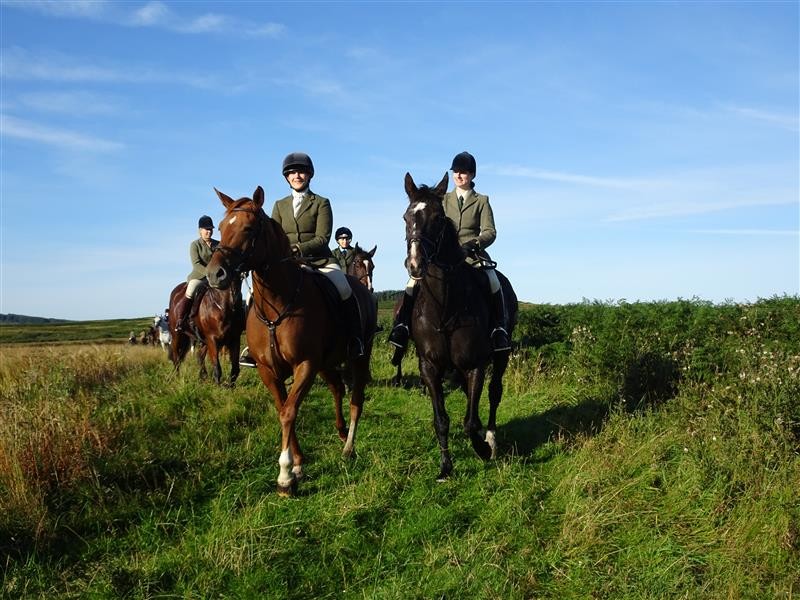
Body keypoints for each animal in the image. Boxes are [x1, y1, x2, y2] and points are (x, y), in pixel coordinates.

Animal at [206, 186, 378, 496]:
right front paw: (297, 465)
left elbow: (289, 412)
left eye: (249, 228)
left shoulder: (305, 364)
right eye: (221, 228)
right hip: (326, 363)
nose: (215, 275)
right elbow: (283, 408)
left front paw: (285, 476)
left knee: (356, 399)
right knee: (337, 388)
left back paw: (348, 448)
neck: (277, 302)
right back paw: (340, 432)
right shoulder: (268, 370)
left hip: (359, 356)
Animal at [401, 172, 518, 481]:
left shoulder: (475, 364)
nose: (415, 264)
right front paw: (445, 467)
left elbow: (470, 421)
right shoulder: (429, 367)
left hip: (501, 354)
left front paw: (482, 449)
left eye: (438, 218)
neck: (444, 306)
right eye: (406, 216)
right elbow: (441, 420)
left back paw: (491, 439)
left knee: (494, 393)